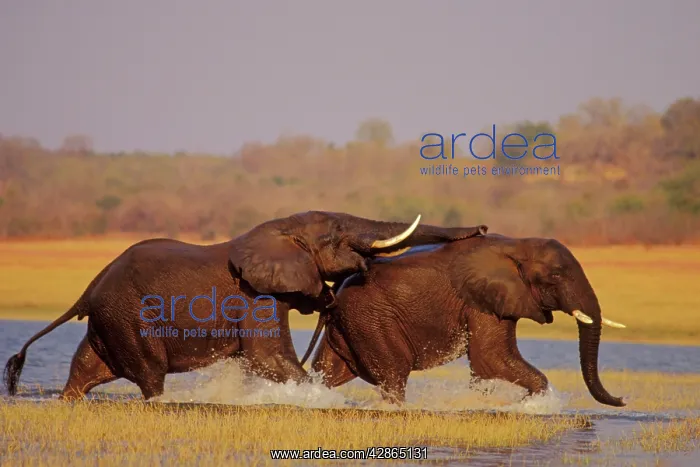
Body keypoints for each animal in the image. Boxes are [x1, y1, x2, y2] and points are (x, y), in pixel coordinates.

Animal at [4, 211, 488, 400]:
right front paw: (314, 397)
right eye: (334, 234)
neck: (281, 228)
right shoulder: (256, 296)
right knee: (149, 375)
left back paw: (68, 399)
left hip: (109, 319)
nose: (483, 229)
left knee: (85, 369)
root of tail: (87, 289)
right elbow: (267, 358)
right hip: (129, 316)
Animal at [306, 233, 627, 407]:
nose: (623, 400)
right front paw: (532, 404)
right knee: (394, 375)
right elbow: (491, 357)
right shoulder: (480, 299)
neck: (519, 244)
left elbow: (488, 363)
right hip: (372, 319)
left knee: (330, 371)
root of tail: (337, 289)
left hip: (350, 324)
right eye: (557, 275)